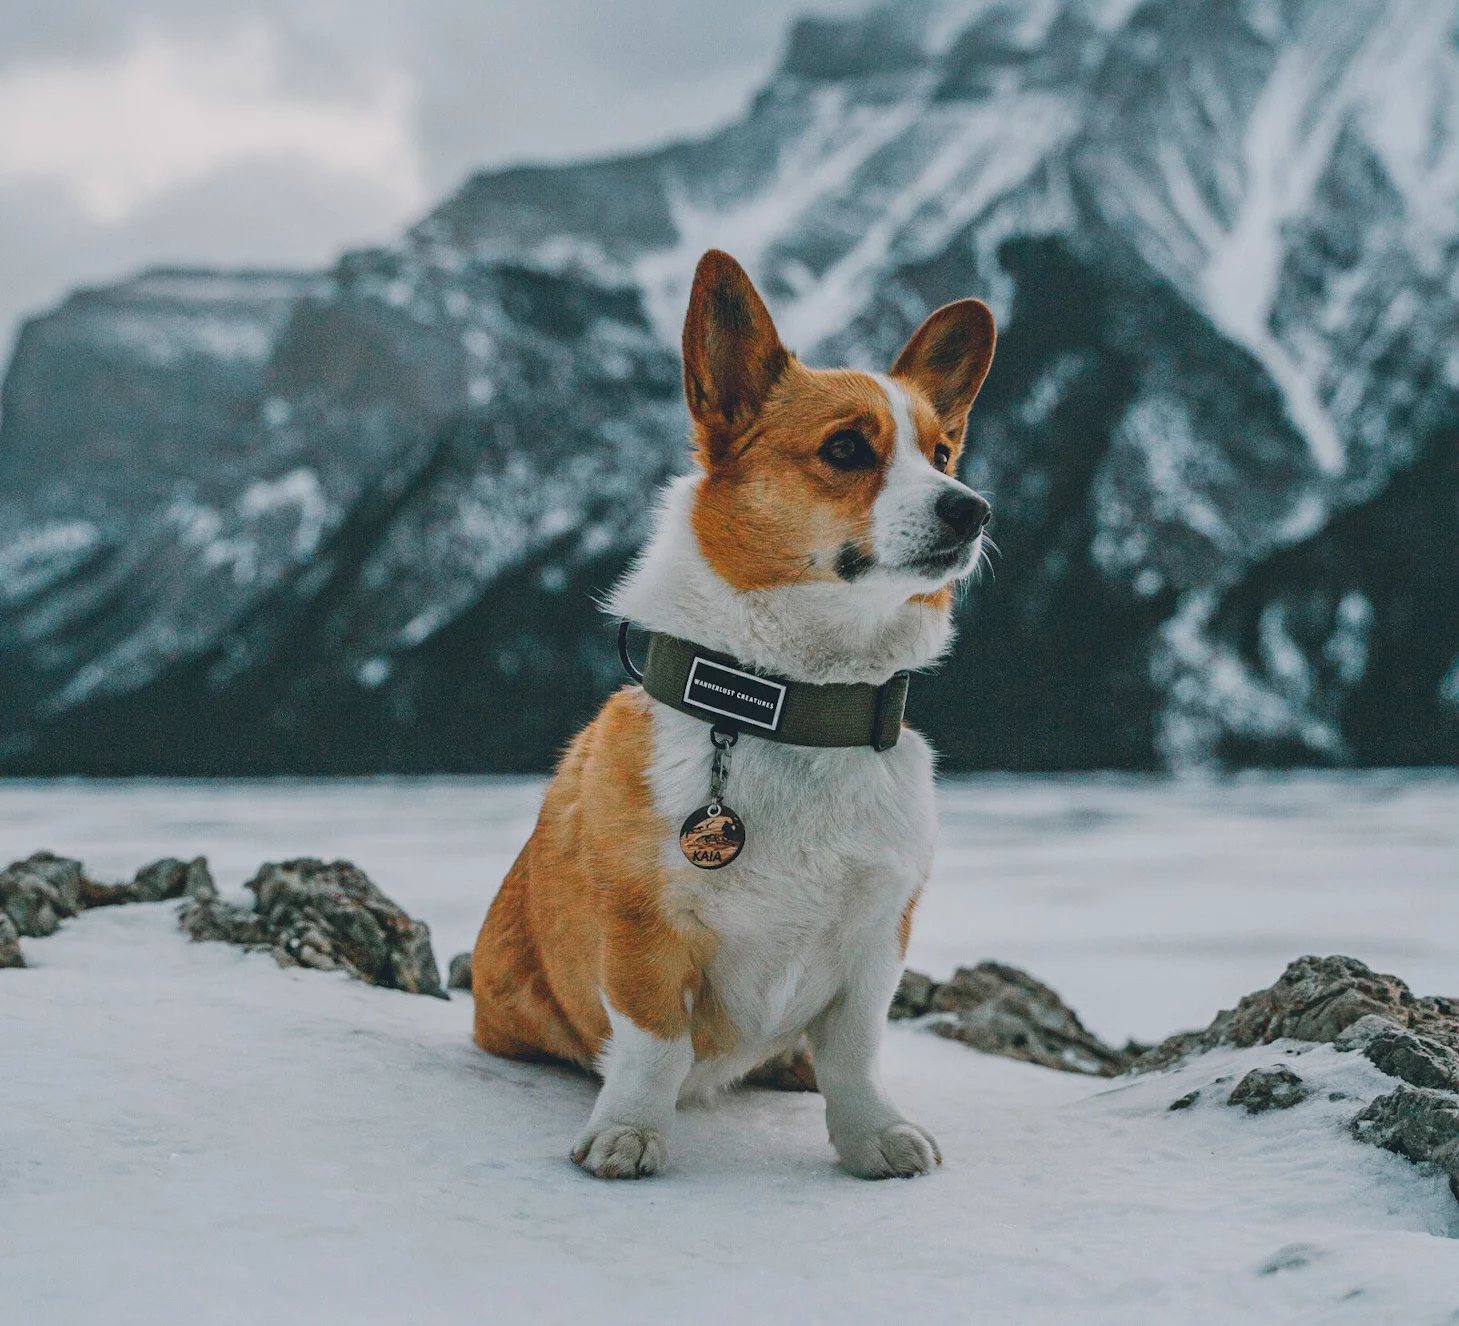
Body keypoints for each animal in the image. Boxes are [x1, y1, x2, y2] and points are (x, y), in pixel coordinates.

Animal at [472, 250, 997, 1178]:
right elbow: (653, 1046)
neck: (800, 704)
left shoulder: (876, 937)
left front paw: (872, 1136)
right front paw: (629, 1133)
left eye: (942, 453)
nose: (970, 507)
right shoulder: (644, 933)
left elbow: (855, 1051)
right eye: (845, 448)